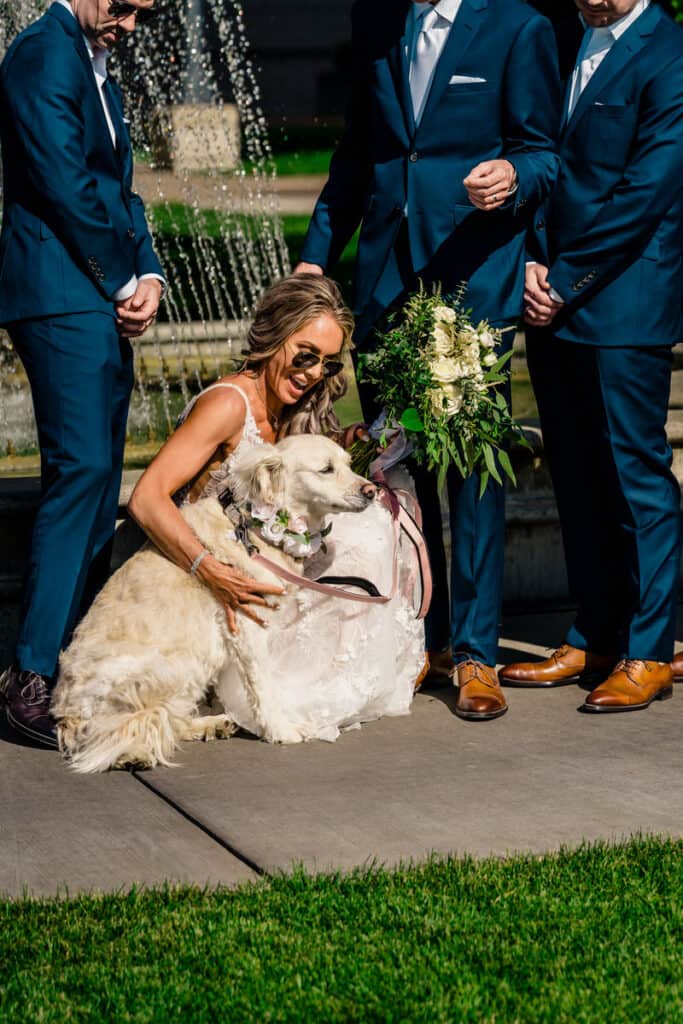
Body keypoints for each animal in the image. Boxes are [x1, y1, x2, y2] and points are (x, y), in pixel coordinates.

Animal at [50, 434, 376, 774]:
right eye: (326, 469)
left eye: (348, 464)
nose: (372, 491)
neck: (252, 529)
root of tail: (65, 719)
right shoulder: (248, 622)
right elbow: (263, 685)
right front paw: (280, 730)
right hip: (169, 665)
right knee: (115, 730)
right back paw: (131, 754)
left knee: (167, 719)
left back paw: (212, 725)